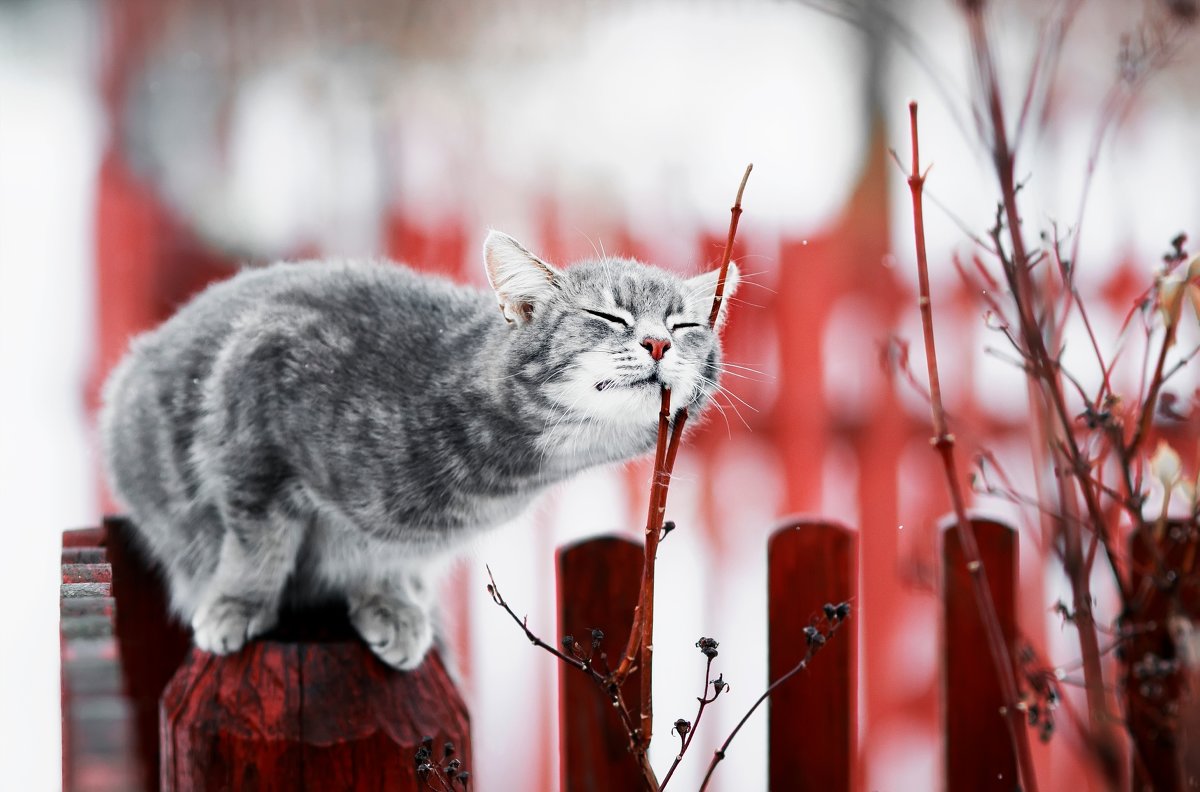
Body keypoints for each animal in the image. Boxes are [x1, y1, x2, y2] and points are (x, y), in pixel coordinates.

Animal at [100, 231, 739, 672]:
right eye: (607, 315)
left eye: (684, 325)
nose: (657, 342)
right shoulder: (253, 409)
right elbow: (259, 542)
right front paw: (237, 603)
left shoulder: (409, 539)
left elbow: (386, 557)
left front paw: (391, 603)